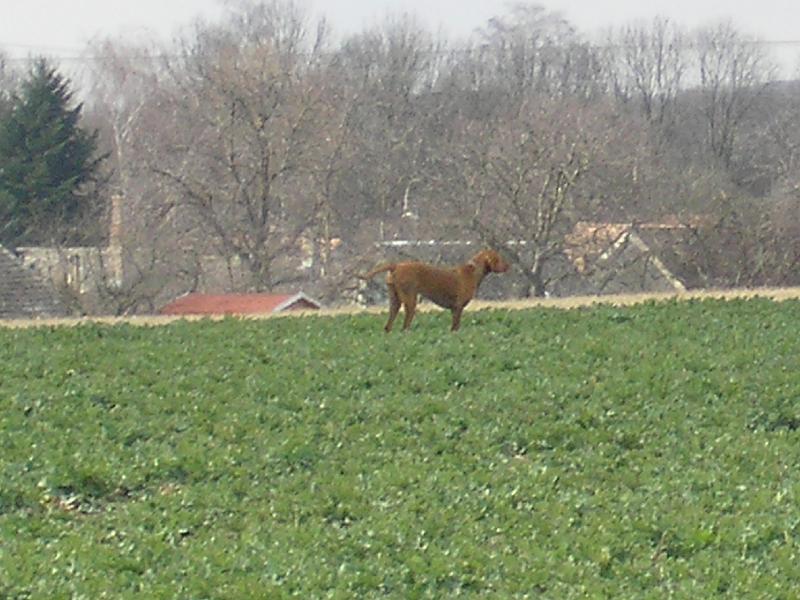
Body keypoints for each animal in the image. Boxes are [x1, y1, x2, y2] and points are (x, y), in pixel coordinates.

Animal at [358, 248, 510, 332]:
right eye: (499, 258)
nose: (508, 266)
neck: (473, 272)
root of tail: (396, 266)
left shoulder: (454, 309)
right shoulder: (458, 308)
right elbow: (455, 327)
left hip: (394, 301)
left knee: (388, 326)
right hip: (410, 301)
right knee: (405, 325)